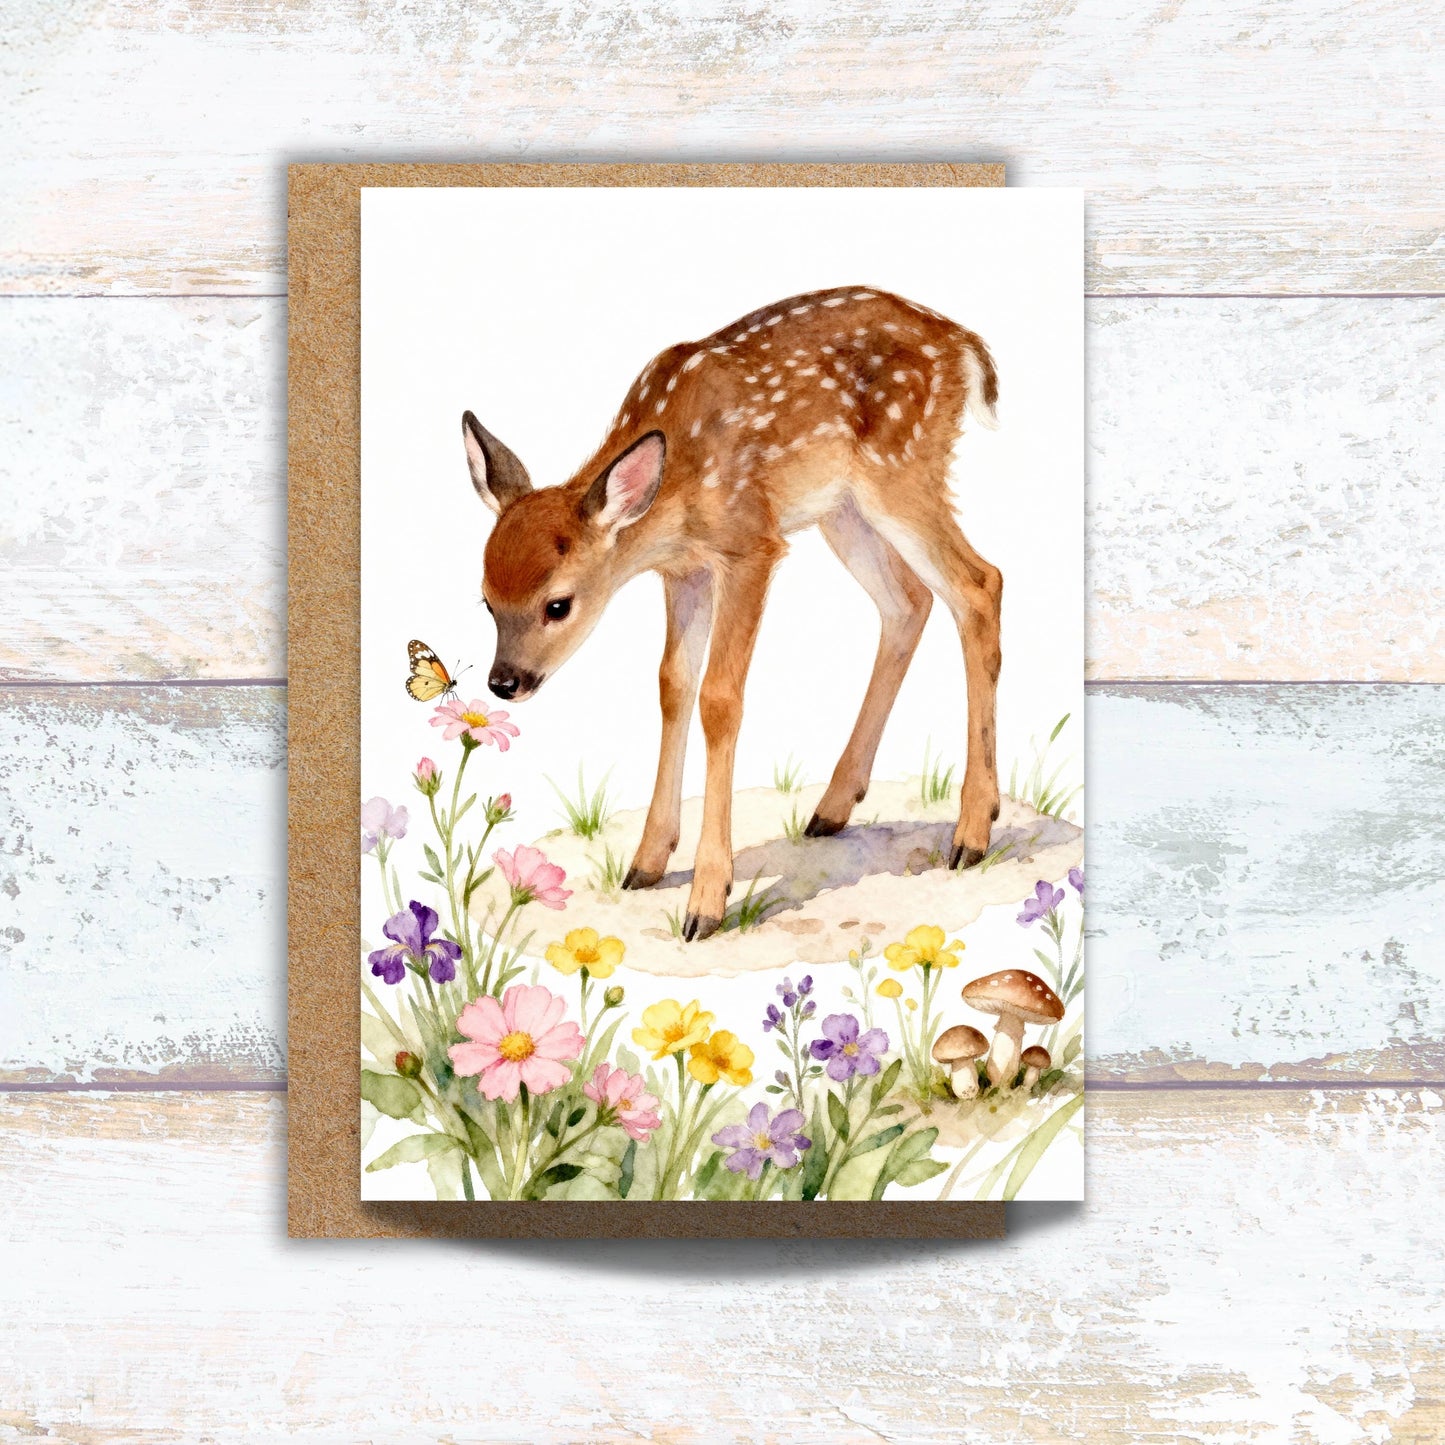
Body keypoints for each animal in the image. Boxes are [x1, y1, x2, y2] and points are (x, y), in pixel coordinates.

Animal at [462, 286, 1002, 942]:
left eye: (557, 605)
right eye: (486, 600)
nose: (504, 682)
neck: (677, 490)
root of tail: (964, 344)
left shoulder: (752, 543)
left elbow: (720, 697)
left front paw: (706, 901)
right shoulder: (684, 571)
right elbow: (673, 684)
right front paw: (647, 862)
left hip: (902, 469)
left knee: (979, 585)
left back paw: (972, 833)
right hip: (844, 508)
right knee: (909, 602)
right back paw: (833, 808)